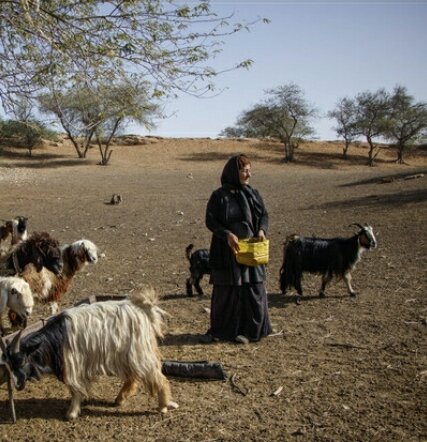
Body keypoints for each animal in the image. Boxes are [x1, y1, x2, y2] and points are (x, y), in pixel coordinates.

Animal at [0, 288, 177, 420]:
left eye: (23, 361)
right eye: (8, 365)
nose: (18, 385)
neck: (57, 339)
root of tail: (143, 309)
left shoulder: (73, 364)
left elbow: (74, 389)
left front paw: (71, 413)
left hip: (139, 352)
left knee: (158, 378)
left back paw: (163, 406)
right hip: (128, 354)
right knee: (133, 378)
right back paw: (120, 399)